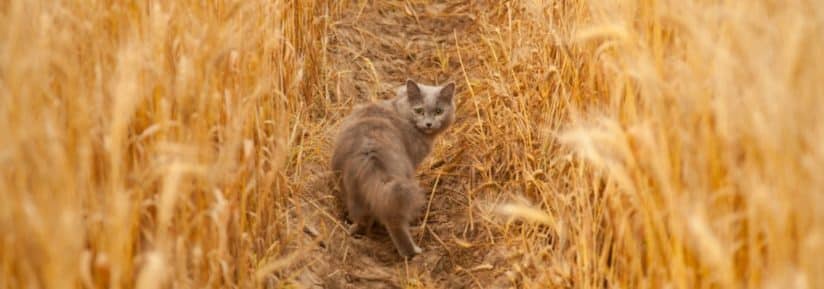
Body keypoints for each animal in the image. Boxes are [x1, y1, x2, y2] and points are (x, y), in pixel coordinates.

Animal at [330, 79, 458, 256]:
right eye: (419, 110)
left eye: (439, 111)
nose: (429, 124)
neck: (399, 110)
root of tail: (371, 154)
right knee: (395, 222)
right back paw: (412, 251)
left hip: (351, 190)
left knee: (363, 218)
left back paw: (355, 230)